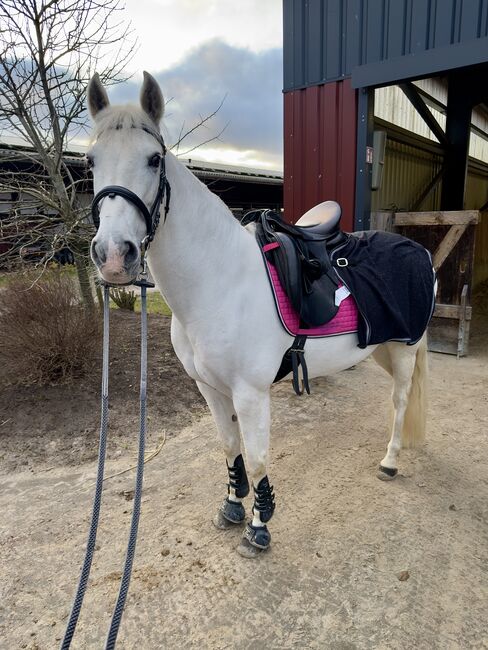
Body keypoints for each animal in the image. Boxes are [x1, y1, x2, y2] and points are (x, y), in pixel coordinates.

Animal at [87, 72, 431, 558]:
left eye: (154, 160)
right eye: (90, 160)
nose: (114, 255)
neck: (218, 280)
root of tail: (418, 249)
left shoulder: (250, 394)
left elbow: (256, 456)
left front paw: (259, 527)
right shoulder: (209, 388)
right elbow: (229, 447)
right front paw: (232, 506)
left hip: (404, 350)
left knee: (400, 401)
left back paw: (390, 461)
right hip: (379, 346)